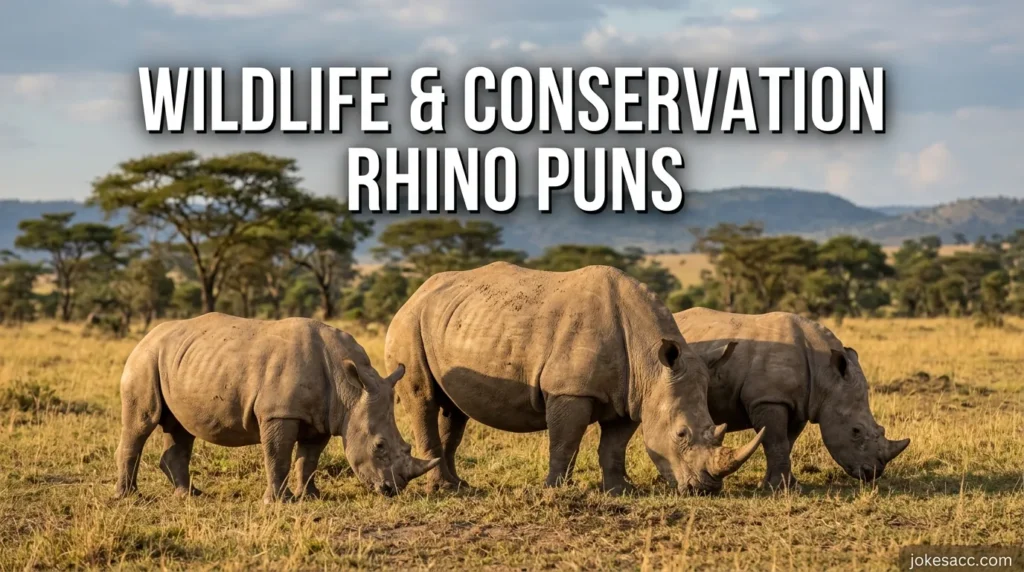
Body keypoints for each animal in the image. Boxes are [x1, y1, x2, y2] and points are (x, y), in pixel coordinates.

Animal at [115, 313, 439, 502]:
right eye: (379, 446)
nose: (393, 490)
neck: (351, 388)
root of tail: (147, 336)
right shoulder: (279, 413)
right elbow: (278, 455)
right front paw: (278, 502)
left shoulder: (325, 416)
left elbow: (308, 459)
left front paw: (310, 497)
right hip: (145, 359)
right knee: (141, 422)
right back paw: (129, 498)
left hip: (178, 360)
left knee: (180, 428)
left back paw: (191, 495)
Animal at [385, 262, 765, 496]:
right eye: (681, 434)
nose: (706, 490)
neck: (651, 365)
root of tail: (416, 293)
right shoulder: (570, 390)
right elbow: (565, 441)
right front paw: (554, 489)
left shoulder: (632, 396)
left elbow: (614, 446)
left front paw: (620, 491)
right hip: (408, 324)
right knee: (423, 398)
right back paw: (445, 489)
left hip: (448, 319)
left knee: (453, 411)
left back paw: (459, 485)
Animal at [674, 308, 911, 490]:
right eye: (856, 431)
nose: (874, 472)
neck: (826, 373)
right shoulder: (769, 399)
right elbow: (776, 441)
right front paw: (777, 488)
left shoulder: (800, 405)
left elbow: (787, 443)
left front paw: (788, 485)